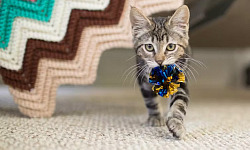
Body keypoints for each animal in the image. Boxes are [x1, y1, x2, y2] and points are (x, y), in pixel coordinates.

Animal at [130, 4, 190, 138]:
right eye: (149, 47)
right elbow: (150, 100)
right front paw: (155, 117)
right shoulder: (143, 79)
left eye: (171, 46)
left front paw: (176, 124)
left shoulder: (180, 78)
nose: (159, 61)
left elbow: (179, 102)